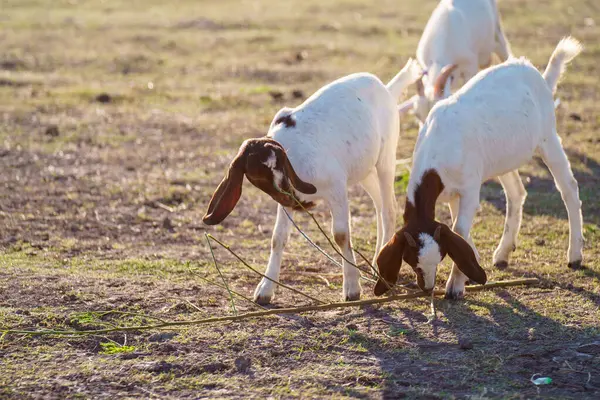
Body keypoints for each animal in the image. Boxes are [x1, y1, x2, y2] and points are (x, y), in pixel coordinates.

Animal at [204, 60, 420, 304]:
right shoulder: (287, 201)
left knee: (388, 209)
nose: (288, 194)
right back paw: (376, 263)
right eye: (257, 175)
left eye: (280, 165)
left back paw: (381, 273)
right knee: (379, 205)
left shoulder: (336, 187)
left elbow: (341, 234)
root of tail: (386, 89)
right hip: (363, 169)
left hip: (385, 157)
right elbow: (278, 238)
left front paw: (352, 289)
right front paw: (265, 290)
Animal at [376, 38, 580, 300]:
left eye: (438, 258)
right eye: (412, 262)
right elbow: (458, 229)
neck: (438, 149)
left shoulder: (469, 189)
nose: (428, 287)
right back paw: (503, 253)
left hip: (548, 138)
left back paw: (575, 255)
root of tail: (534, 73)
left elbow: (459, 229)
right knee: (516, 193)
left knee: (568, 188)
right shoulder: (452, 194)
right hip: (502, 158)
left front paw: (455, 285)